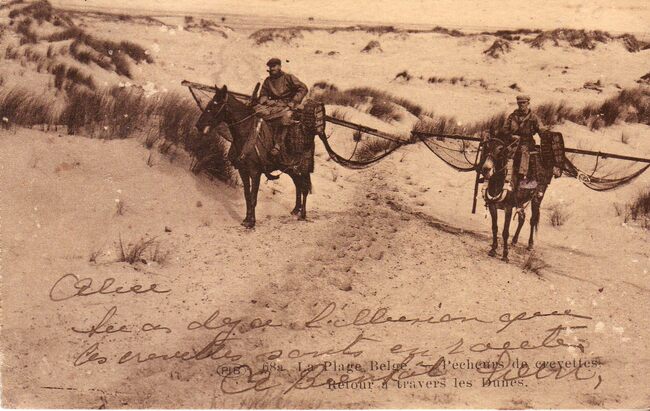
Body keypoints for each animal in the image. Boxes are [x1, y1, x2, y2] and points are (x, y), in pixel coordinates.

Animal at [195, 85, 313, 229]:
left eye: (214, 106)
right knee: (298, 184)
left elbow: (253, 198)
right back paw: (296, 210)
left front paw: (251, 222)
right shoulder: (243, 171)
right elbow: (247, 195)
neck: (246, 134)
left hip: (303, 168)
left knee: (304, 188)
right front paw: (246, 219)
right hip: (291, 169)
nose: (198, 125)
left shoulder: (255, 172)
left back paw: (303, 214)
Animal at [479, 133, 547, 262]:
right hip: (520, 202)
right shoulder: (492, 206)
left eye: (501, 149)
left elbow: (505, 232)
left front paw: (505, 255)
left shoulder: (508, 208)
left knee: (532, 220)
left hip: (536, 199)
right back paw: (514, 240)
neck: (499, 182)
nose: (486, 169)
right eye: (486, 146)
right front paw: (493, 249)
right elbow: (494, 227)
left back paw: (530, 244)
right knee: (522, 218)